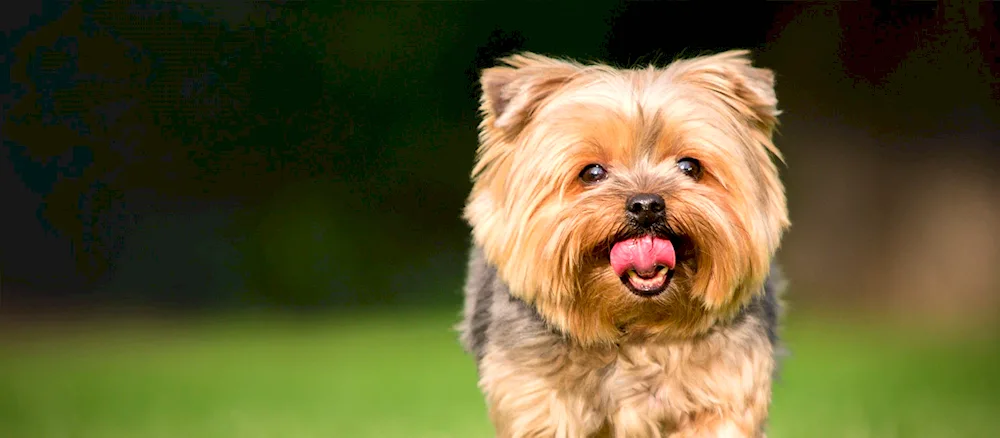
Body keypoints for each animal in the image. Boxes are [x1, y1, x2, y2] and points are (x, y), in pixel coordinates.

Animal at [458, 49, 788, 436]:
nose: (646, 205)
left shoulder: (724, 392)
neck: (636, 330)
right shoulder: (540, 405)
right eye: (592, 173)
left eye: (690, 167)